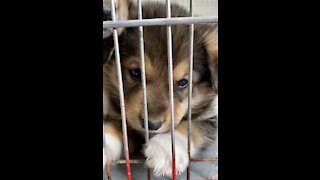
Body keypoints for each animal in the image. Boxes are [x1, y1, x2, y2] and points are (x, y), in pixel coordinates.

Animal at [102, 1, 218, 177]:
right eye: (136, 73)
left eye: (183, 82)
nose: (152, 124)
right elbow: (118, 126)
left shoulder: (212, 115)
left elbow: (193, 126)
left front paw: (167, 149)